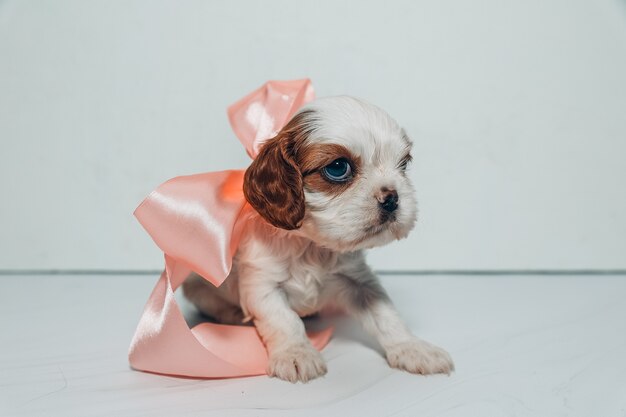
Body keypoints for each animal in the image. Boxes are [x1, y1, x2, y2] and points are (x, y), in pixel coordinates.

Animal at [183, 96, 450, 382]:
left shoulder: (359, 282)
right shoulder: (262, 284)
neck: (312, 245)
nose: (392, 198)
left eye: (403, 164)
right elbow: (283, 320)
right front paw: (296, 354)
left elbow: (386, 313)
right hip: (198, 288)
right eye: (338, 167)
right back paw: (233, 315)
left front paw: (412, 347)